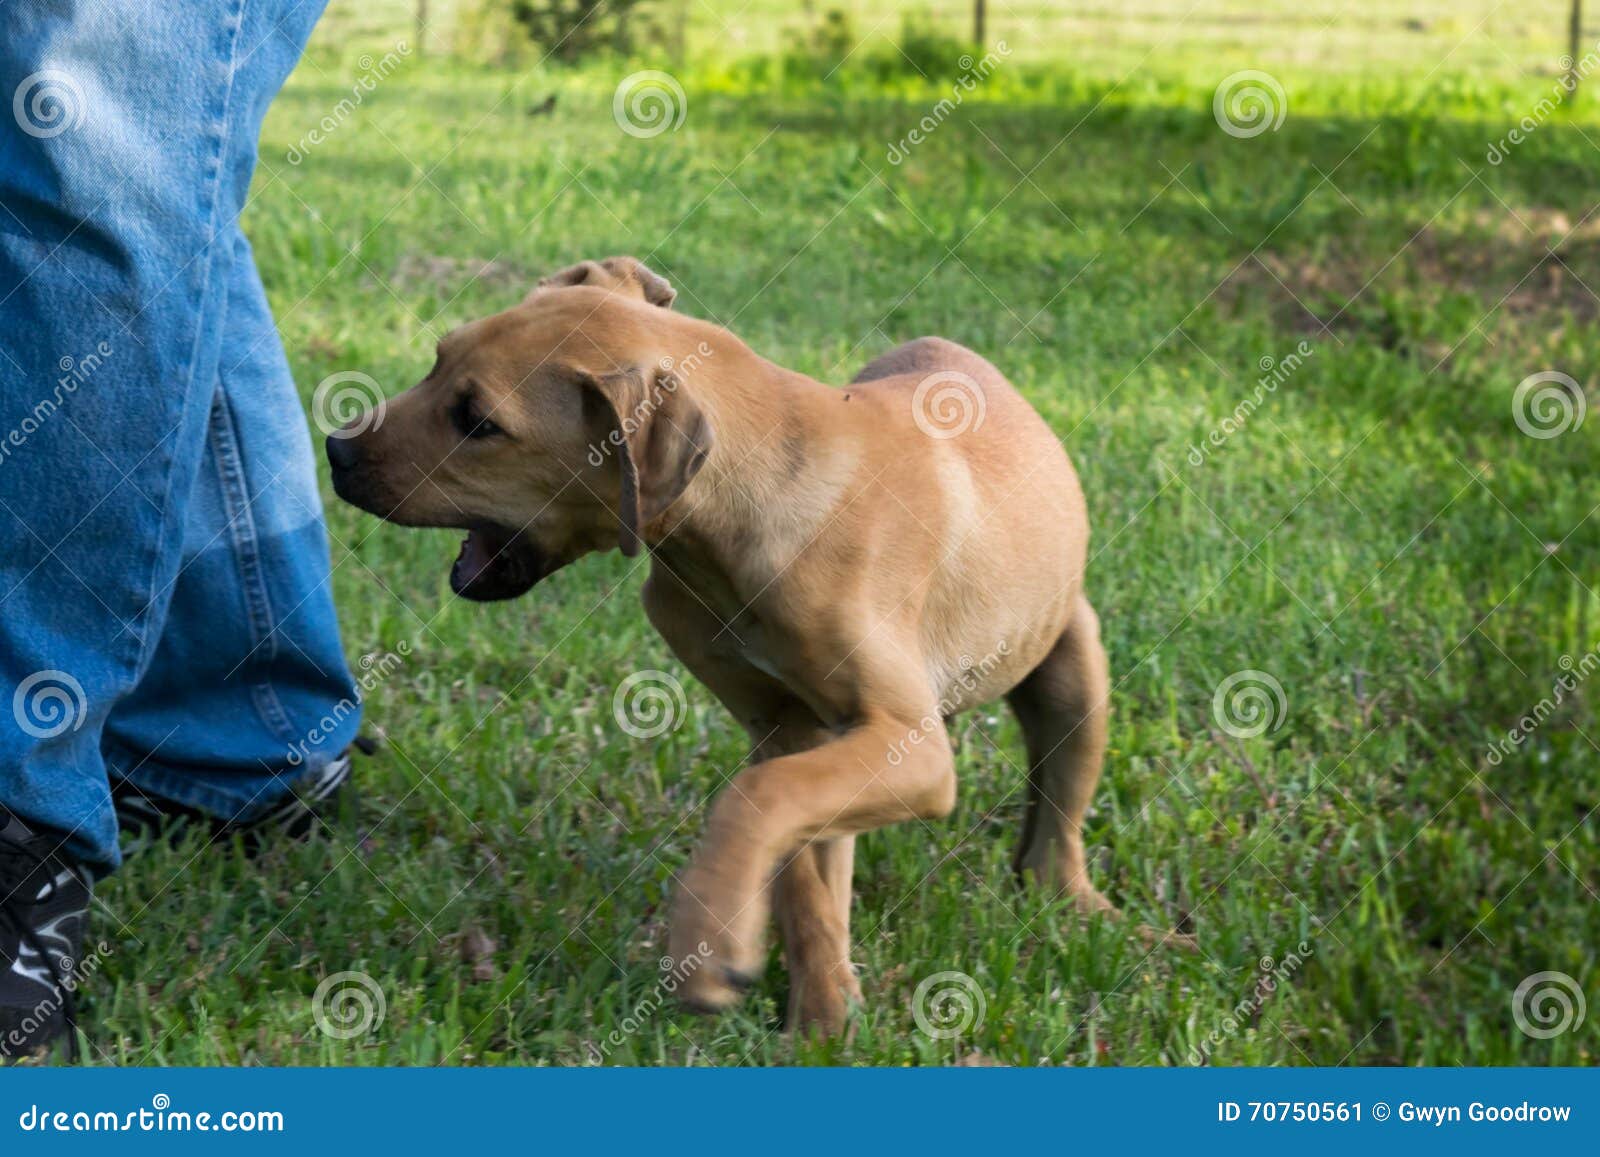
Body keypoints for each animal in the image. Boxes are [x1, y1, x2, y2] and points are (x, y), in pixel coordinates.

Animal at [324, 260, 1184, 1030]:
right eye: (438, 359)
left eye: (478, 422)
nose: (333, 448)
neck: (736, 522)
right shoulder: (790, 729)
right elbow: (801, 865)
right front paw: (822, 1021)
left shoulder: (904, 743)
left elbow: (752, 802)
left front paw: (710, 934)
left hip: (1073, 675)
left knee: (1057, 819)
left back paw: (1083, 907)